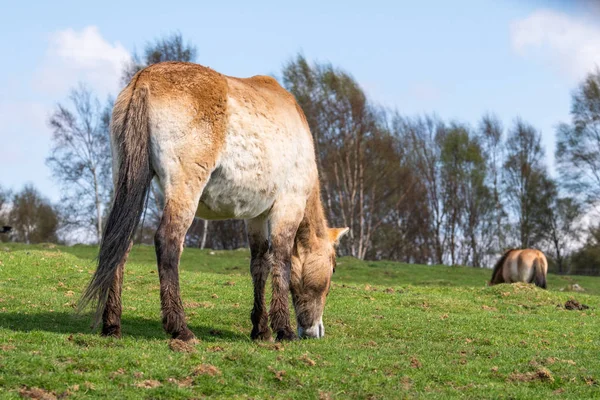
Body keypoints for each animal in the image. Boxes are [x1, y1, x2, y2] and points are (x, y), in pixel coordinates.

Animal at [80, 61, 352, 342]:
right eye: (333, 268)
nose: (315, 331)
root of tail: (145, 79)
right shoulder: (289, 204)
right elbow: (282, 261)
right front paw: (283, 330)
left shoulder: (255, 216)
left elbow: (259, 264)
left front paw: (261, 330)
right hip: (185, 186)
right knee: (168, 241)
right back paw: (180, 327)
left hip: (125, 181)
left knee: (120, 243)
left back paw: (112, 325)